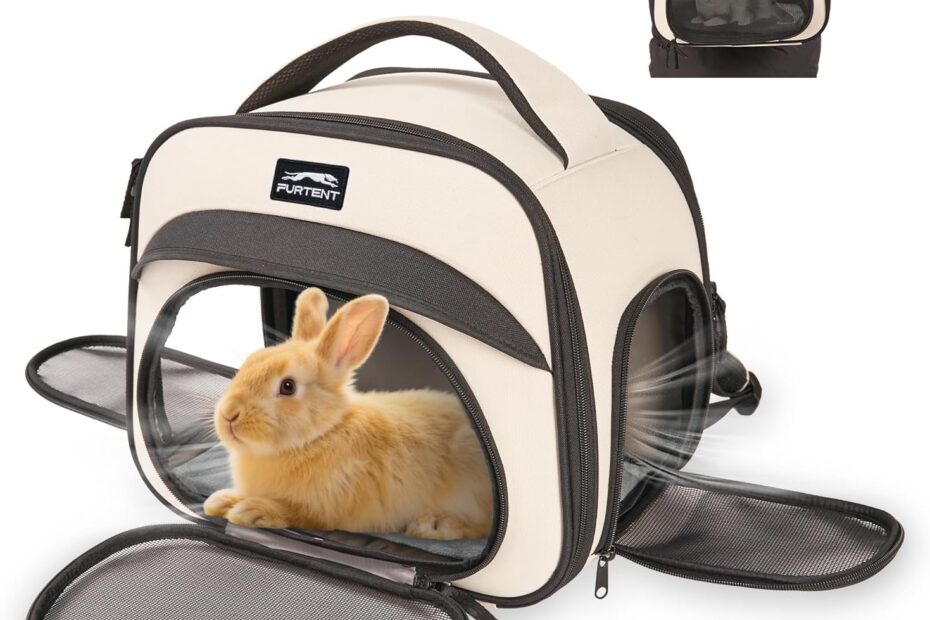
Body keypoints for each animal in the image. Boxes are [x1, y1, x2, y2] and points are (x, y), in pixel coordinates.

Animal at [203, 288, 493, 540]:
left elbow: (296, 513)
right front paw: (220, 500)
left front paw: (250, 510)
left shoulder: (324, 508)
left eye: (288, 386)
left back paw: (433, 526)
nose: (229, 415)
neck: (322, 433)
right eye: (249, 363)